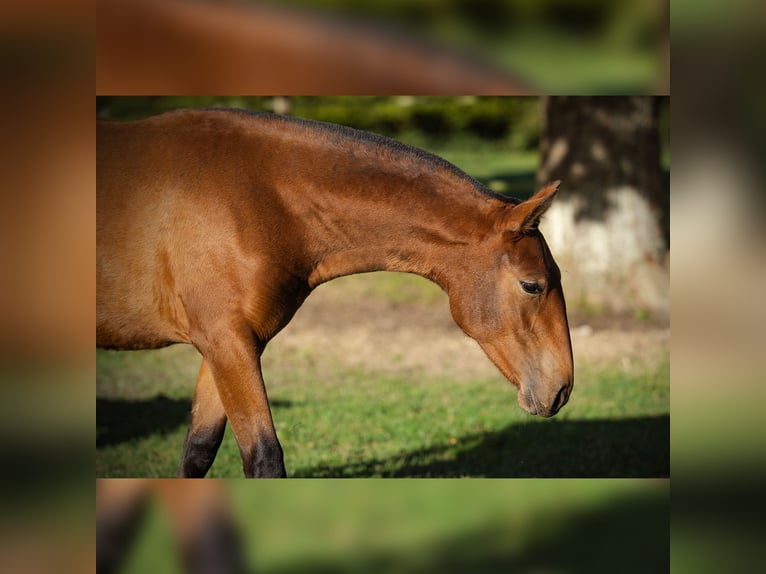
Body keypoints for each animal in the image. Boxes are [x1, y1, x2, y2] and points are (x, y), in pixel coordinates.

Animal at [96, 110, 572, 480]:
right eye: (532, 285)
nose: (563, 389)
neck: (255, 196)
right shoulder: (225, 341)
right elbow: (264, 457)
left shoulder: (228, 344)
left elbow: (198, 451)